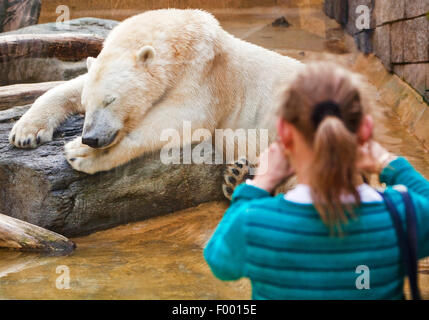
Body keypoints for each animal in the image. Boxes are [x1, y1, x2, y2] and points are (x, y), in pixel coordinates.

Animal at [8, 9, 302, 180]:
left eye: (110, 100)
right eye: (86, 103)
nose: (90, 137)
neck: (181, 37)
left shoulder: (205, 72)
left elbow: (184, 117)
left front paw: (81, 153)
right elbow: (68, 85)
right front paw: (25, 132)